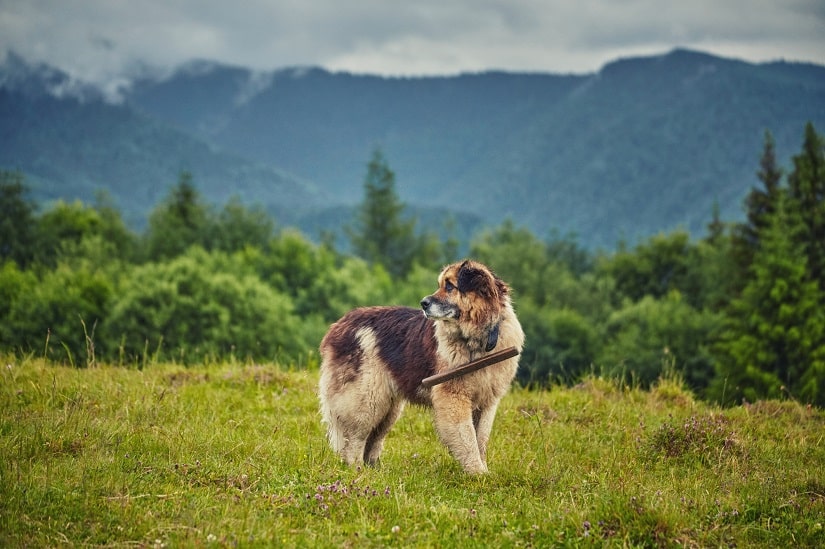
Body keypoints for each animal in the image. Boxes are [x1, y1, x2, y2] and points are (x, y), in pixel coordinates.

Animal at [318, 260, 524, 474]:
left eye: (449, 286)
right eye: (442, 284)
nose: (423, 303)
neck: (478, 339)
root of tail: (339, 325)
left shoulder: (487, 402)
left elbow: (481, 438)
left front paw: (483, 471)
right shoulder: (454, 398)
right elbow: (467, 438)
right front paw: (477, 473)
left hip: (389, 407)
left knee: (373, 438)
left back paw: (376, 470)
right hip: (367, 399)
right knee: (355, 439)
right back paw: (357, 470)